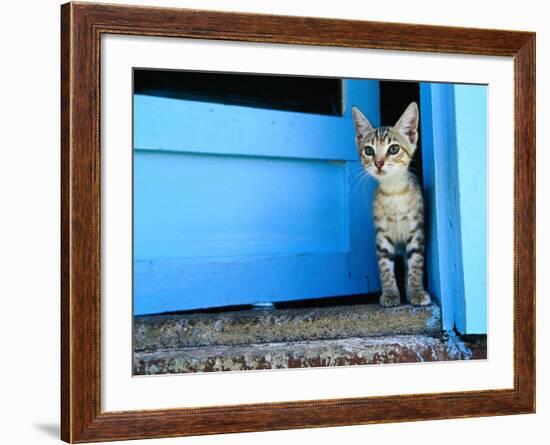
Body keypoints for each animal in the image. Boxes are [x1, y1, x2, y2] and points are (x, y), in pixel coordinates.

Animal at [352, 102, 434, 306]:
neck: (394, 192)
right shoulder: (382, 236)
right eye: (369, 150)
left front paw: (416, 291)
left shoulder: (416, 232)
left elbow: (415, 264)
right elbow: (384, 266)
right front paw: (390, 293)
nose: (379, 163)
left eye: (394, 149)